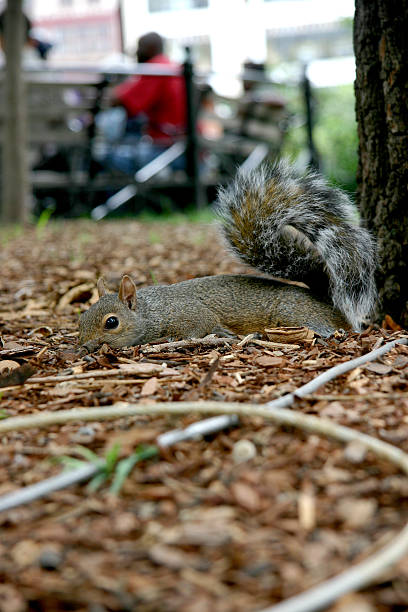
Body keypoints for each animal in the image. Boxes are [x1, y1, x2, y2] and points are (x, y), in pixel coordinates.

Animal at [78, 160, 378, 352]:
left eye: (111, 323)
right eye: (82, 317)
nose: (83, 345)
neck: (152, 312)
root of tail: (328, 303)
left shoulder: (190, 314)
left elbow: (204, 324)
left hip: (293, 315)